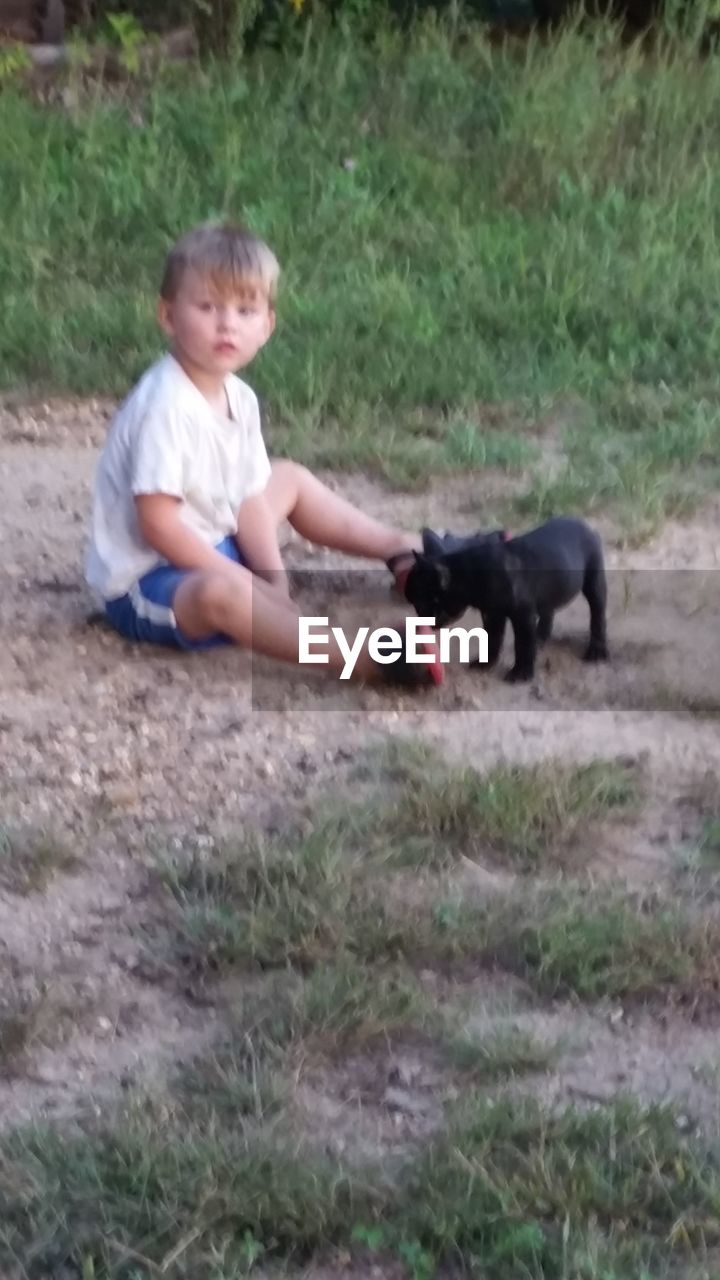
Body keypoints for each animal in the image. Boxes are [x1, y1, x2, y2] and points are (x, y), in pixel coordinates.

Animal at [404, 517, 604, 686]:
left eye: (423, 604)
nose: (419, 620)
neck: (468, 572)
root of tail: (583, 523)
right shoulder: (493, 615)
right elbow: (492, 639)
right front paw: (485, 662)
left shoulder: (522, 616)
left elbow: (522, 644)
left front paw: (521, 673)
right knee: (548, 610)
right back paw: (540, 637)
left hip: (594, 580)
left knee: (597, 613)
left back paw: (597, 650)